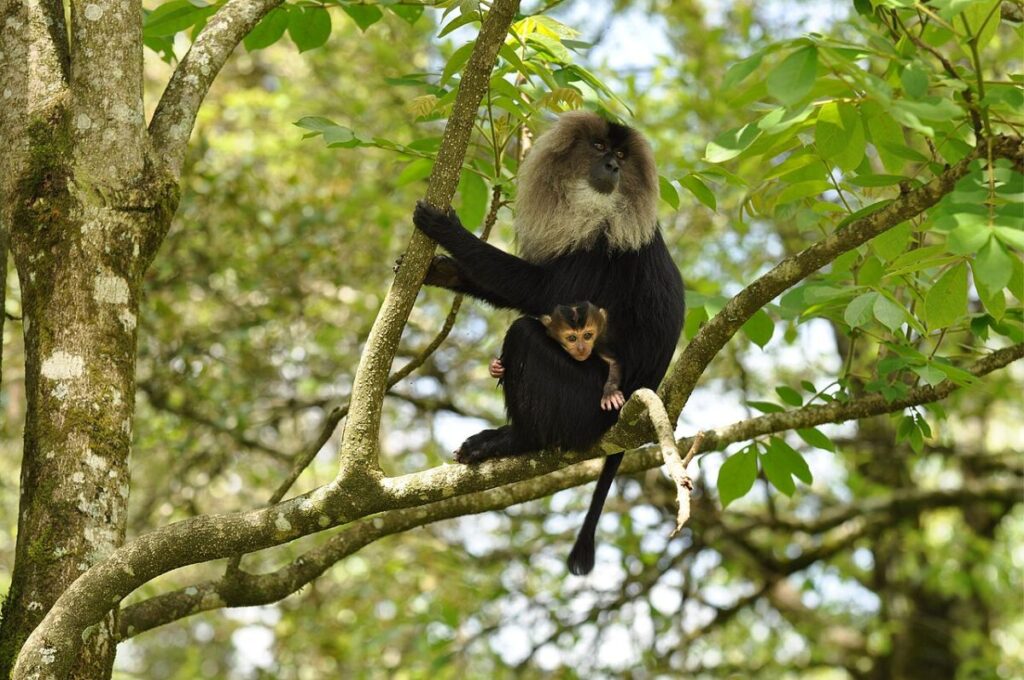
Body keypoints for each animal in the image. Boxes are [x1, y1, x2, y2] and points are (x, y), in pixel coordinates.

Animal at [487, 303, 622, 409]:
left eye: (587, 336)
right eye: (572, 338)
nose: (581, 349)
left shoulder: (598, 343)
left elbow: (613, 362)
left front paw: (610, 393)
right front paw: (495, 368)